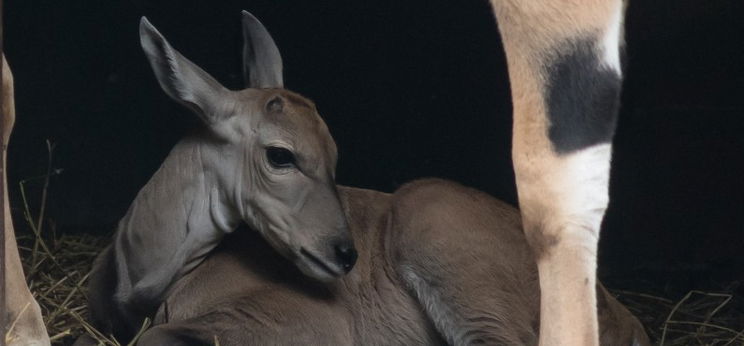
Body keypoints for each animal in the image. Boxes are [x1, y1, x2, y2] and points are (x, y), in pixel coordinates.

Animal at [77, 10, 652, 346]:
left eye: (335, 155)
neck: (139, 275)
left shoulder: (302, 324)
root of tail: (621, 316)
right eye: (281, 155)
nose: (345, 254)